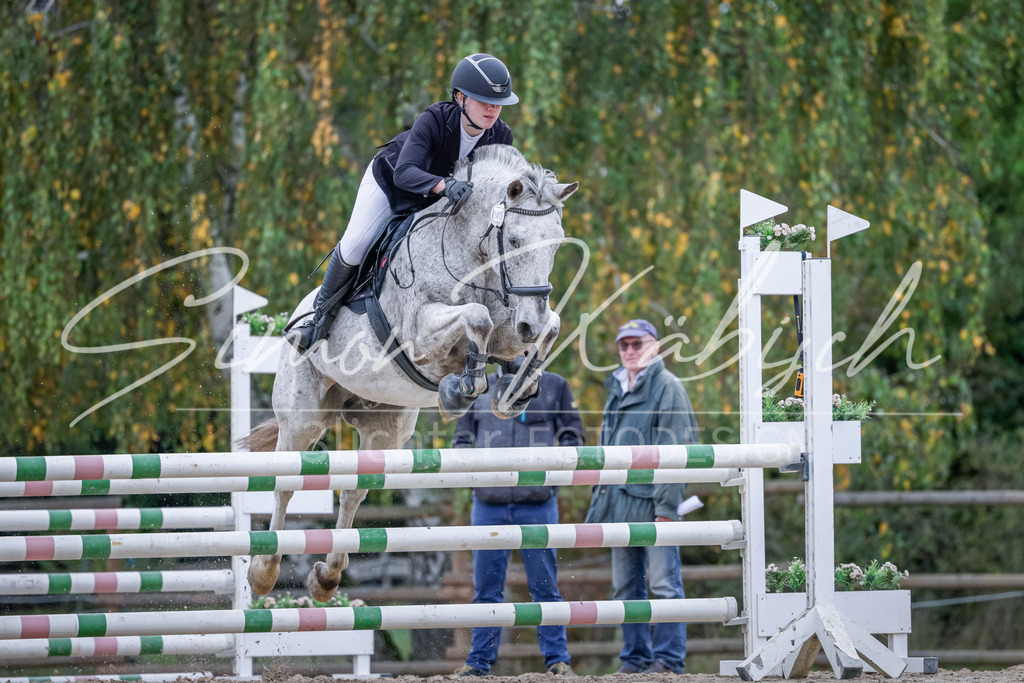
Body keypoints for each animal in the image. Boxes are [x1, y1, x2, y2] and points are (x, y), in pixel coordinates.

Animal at [240, 144, 578, 601]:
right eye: (515, 241)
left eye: (556, 244)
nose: (531, 324)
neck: (468, 255)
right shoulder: (421, 334)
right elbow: (477, 318)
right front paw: (462, 390)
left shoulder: (513, 325)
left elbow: (547, 326)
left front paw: (516, 388)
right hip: (303, 419)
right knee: (286, 484)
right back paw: (264, 571)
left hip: (385, 428)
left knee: (354, 491)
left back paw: (327, 577)